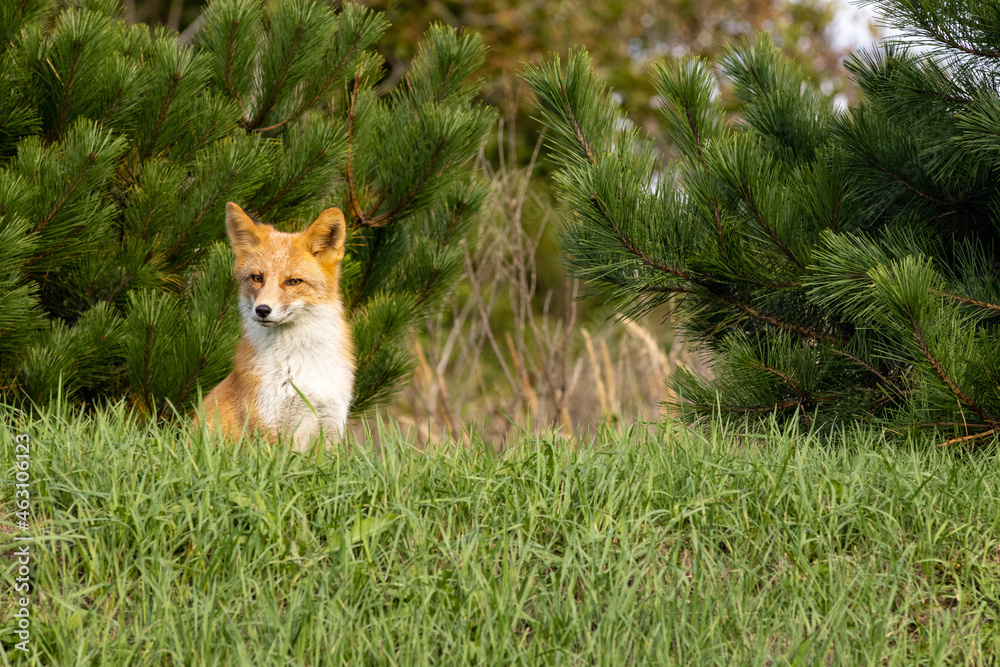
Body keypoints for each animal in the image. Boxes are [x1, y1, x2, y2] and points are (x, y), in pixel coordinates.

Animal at [199, 202, 355, 451]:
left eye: (293, 281)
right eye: (257, 278)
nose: (262, 310)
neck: (301, 363)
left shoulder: (330, 427)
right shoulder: (268, 429)